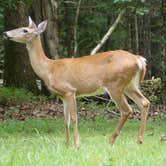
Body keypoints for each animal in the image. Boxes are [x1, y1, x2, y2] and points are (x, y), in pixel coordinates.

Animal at [2, 17, 150, 148]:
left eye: (25, 30)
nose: (5, 33)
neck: (49, 69)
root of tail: (138, 60)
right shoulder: (62, 96)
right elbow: (65, 121)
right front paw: (67, 145)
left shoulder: (70, 90)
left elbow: (74, 118)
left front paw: (77, 145)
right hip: (130, 85)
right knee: (144, 102)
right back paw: (139, 141)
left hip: (115, 84)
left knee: (127, 109)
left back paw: (111, 140)